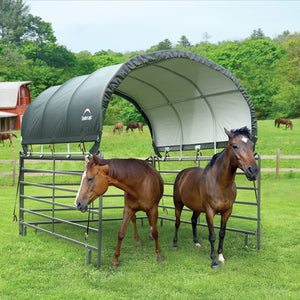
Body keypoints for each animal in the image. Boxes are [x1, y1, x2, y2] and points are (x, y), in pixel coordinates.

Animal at [172, 126, 258, 270]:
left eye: (252, 145)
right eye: (234, 146)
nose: (253, 171)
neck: (220, 184)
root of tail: (182, 173)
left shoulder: (227, 211)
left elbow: (222, 234)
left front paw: (221, 257)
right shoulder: (209, 211)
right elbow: (212, 236)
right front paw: (213, 261)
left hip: (197, 208)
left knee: (193, 221)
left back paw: (196, 243)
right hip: (178, 204)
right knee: (177, 222)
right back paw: (175, 244)